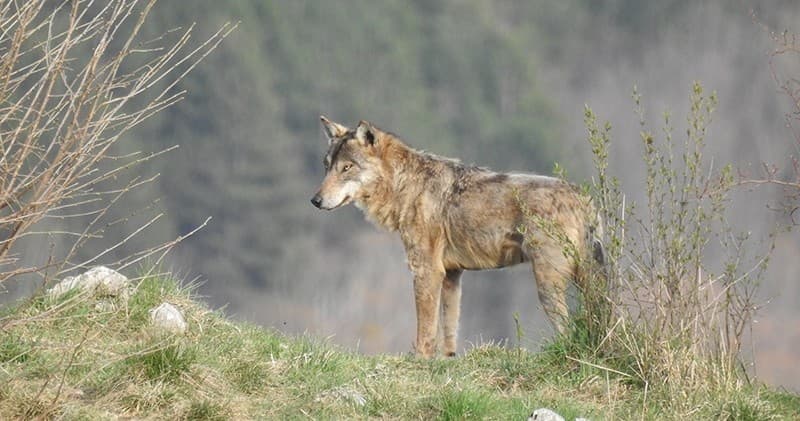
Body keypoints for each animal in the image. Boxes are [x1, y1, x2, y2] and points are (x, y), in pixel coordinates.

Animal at [311, 116, 603, 358]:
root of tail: (582, 198)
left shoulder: (427, 271)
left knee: (567, 330)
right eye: (326, 167)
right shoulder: (452, 275)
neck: (407, 186)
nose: (315, 201)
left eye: (347, 168)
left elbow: (425, 332)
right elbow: (449, 334)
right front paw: (447, 364)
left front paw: (421, 363)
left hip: (547, 287)